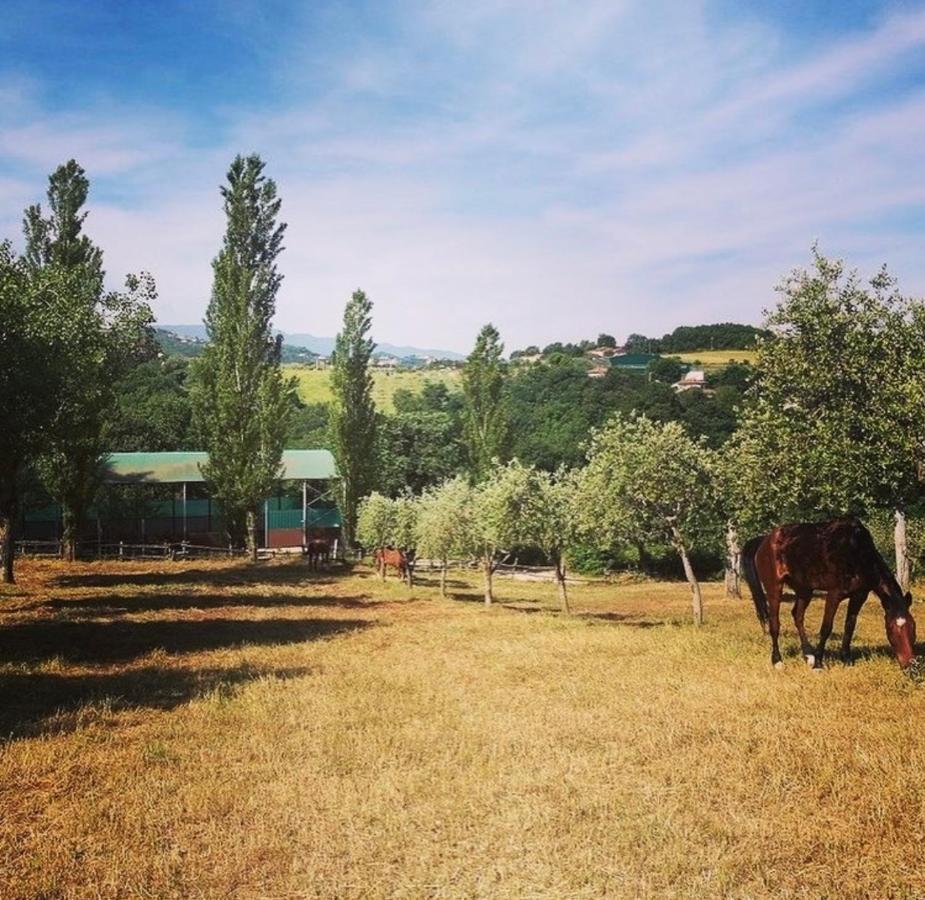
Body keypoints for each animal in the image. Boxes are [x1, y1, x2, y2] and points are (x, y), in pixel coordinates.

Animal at [740, 516, 912, 672]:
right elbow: (826, 628)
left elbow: (849, 626)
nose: (910, 665)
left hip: (804, 590)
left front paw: (846, 659)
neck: (856, 551)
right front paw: (818, 664)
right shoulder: (834, 595)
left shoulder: (859, 596)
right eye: (891, 628)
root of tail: (764, 540)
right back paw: (778, 661)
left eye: (912, 626)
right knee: (774, 623)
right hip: (774, 588)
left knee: (797, 615)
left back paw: (808, 655)